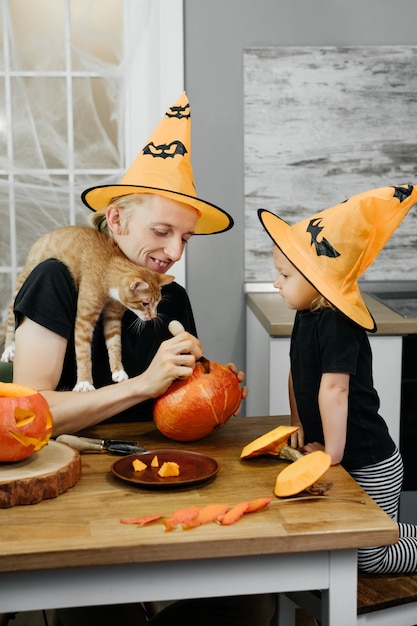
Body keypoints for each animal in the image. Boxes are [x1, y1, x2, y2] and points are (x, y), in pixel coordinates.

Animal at [0, 224, 173, 390]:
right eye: (145, 304)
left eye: (157, 303)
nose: (153, 317)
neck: (108, 267)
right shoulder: (85, 319)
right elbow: (83, 352)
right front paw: (84, 382)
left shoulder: (113, 318)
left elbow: (115, 345)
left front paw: (118, 371)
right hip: (26, 275)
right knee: (9, 312)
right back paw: (9, 348)